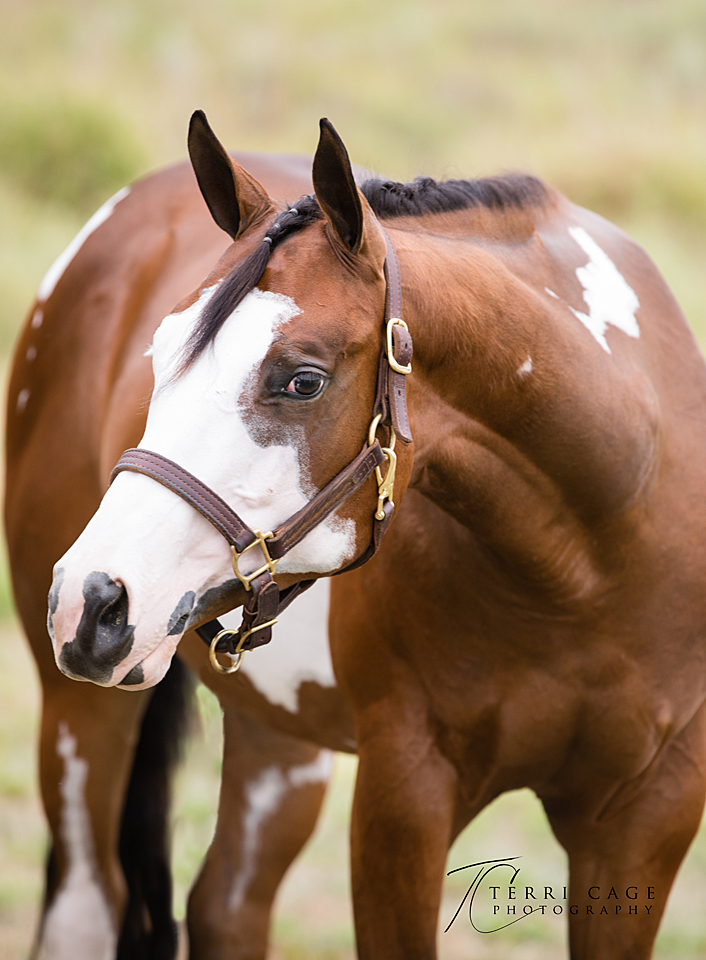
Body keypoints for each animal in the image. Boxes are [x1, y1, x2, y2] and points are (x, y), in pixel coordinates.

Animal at [8, 110, 706, 960]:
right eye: (159, 353)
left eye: (301, 379)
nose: (92, 598)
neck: (592, 561)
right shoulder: (403, 796)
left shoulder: (647, 817)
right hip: (80, 716)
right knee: (89, 900)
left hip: (277, 742)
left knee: (225, 905)